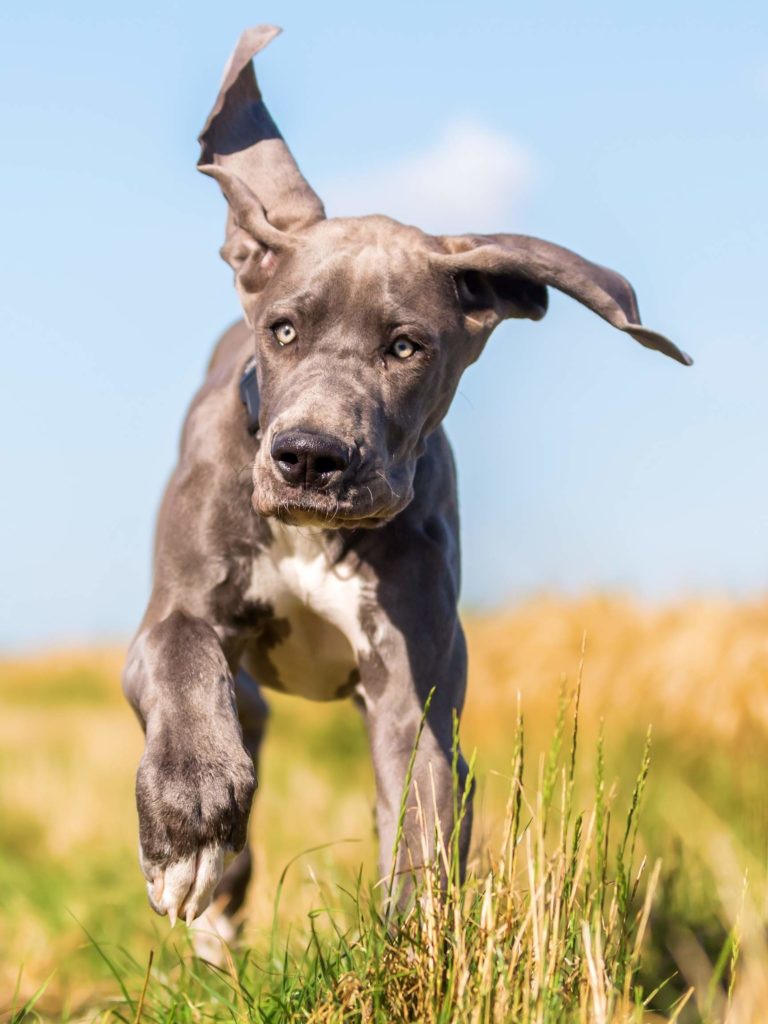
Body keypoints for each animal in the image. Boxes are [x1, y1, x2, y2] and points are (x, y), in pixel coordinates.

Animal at [121, 24, 692, 942]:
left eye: (405, 347)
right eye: (283, 330)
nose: (310, 458)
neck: (315, 536)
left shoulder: (410, 688)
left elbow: (421, 819)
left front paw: (414, 948)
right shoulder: (174, 614)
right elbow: (182, 659)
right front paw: (190, 827)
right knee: (241, 709)